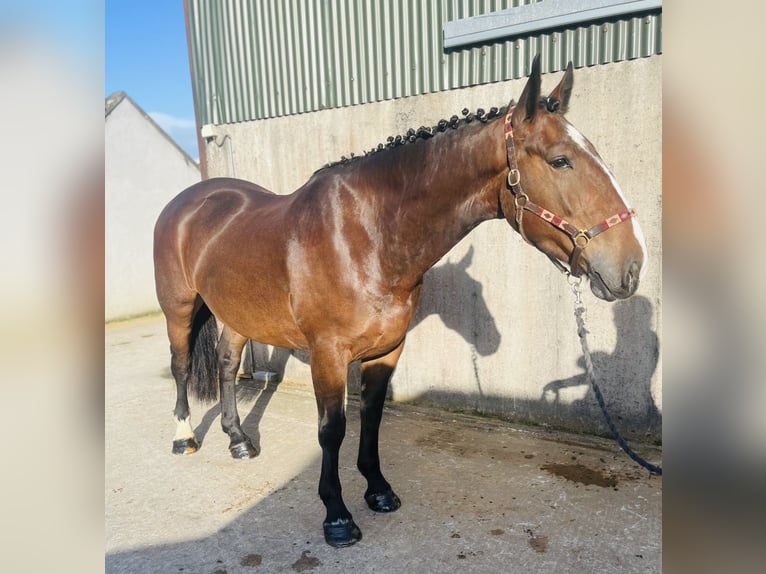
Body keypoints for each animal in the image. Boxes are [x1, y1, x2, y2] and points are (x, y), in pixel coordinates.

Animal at [153, 55, 647, 547]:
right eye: (561, 161)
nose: (631, 266)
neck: (365, 236)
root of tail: (191, 199)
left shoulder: (388, 348)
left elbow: (371, 419)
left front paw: (378, 490)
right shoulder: (328, 355)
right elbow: (332, 430)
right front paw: (336, 516)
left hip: (238, 313)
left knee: (225, 364)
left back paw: (238, 440)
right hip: (179, 309)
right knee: (181, 367)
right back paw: (184, 438)